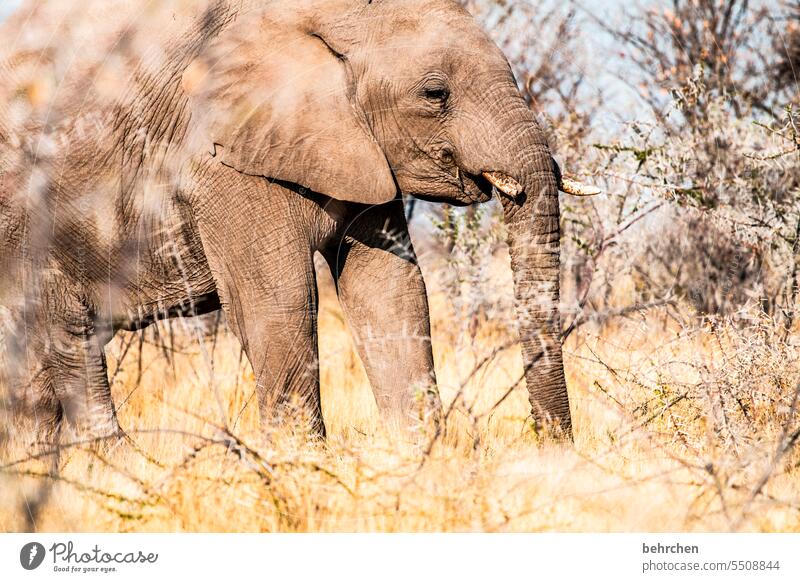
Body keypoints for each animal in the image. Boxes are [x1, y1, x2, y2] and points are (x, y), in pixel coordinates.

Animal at [0, 0, 576, 444]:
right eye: (436, 94)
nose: (554, 447)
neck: (331, 18)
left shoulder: (358, 145)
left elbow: (391, 290)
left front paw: (422, 457)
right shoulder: (223, 156)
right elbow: (280, 302)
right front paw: (305, 467)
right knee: (65, 338)